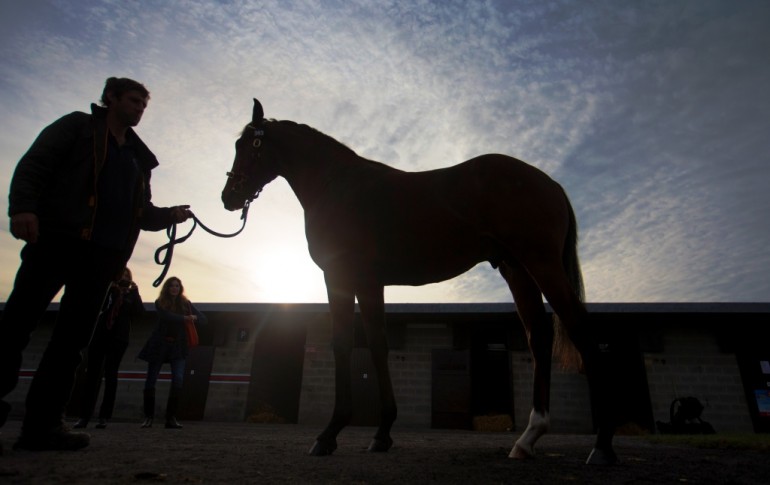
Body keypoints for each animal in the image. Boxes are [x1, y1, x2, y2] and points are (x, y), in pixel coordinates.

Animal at [220, 99, 616, 466]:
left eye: (249, 145)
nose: (229, 197)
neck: (337, 187)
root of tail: (550, 183)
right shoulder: (369, 283)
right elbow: (377, 346)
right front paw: (381, 434)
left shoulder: (341, 278)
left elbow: (343, 344)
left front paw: (329, 434)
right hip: (517, 270)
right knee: (539, 337)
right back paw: (528, 438)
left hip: (542, 264)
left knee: (580, 330)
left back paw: (602, 447)